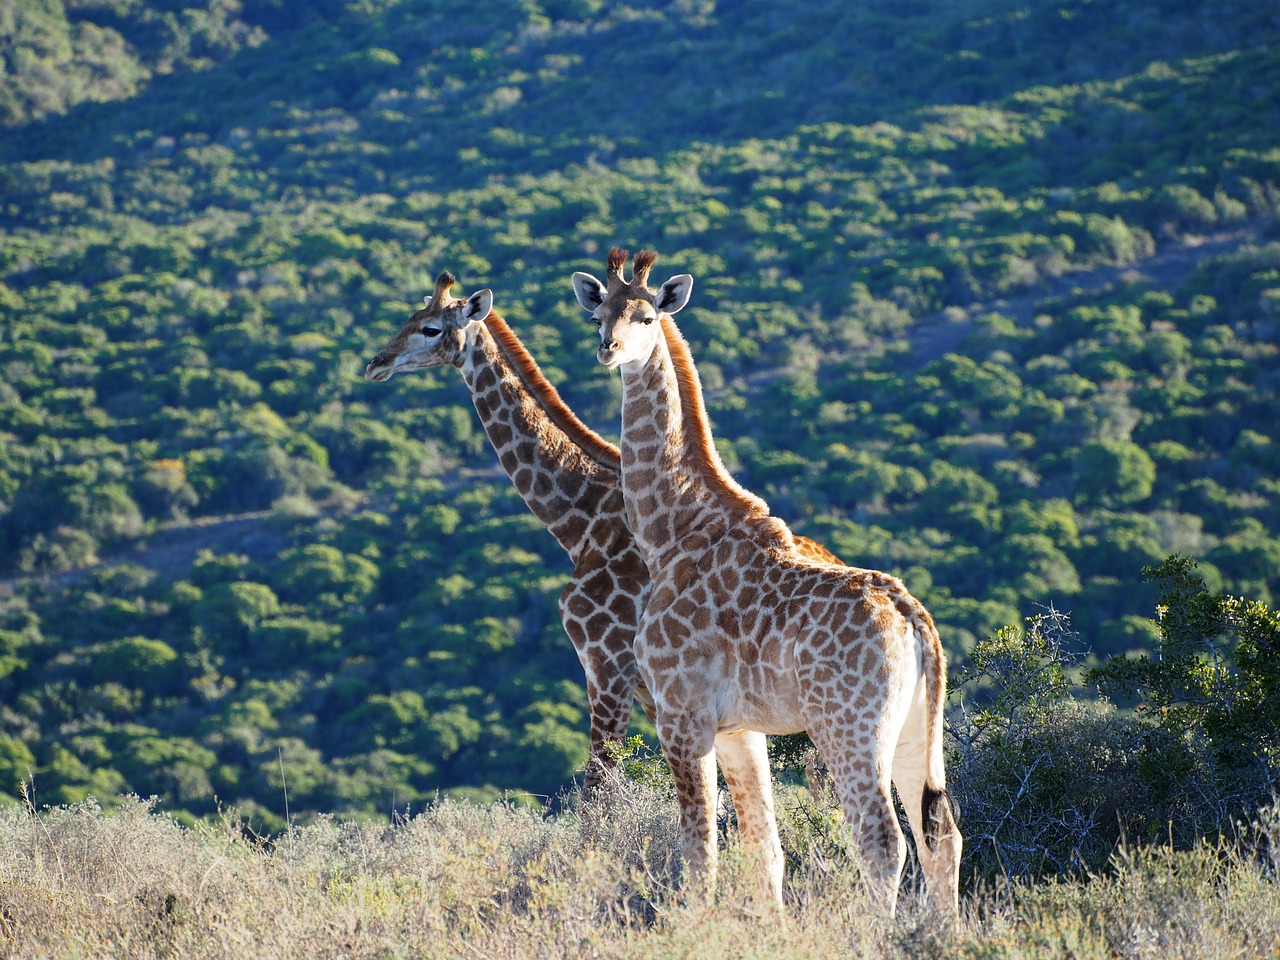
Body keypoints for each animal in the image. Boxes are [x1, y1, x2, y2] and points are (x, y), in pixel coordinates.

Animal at [360, 272, 844, 803]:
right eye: (409, 317)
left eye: (429, 328)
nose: (376, 363)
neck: (580, 520)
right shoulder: (653, 688)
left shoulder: (607, 660)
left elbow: (599, 790)